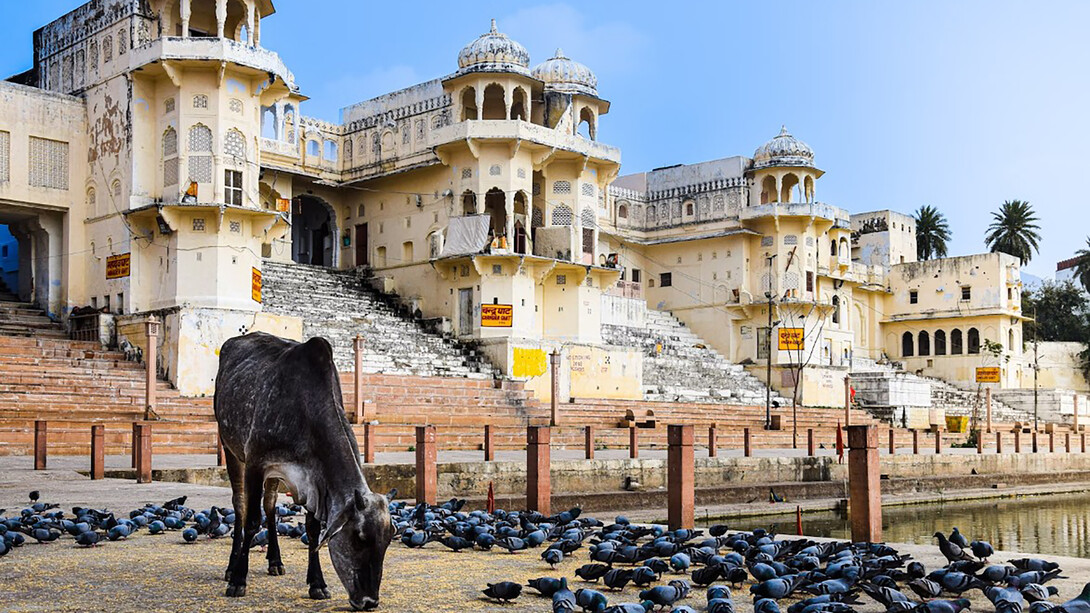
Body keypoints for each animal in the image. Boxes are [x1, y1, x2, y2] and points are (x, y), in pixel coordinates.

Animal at [214, 332, 393, 610]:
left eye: (388, 541)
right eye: (359, 538)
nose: (369, 601)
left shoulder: (313, 480)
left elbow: (313, 529)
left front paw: (317, 583)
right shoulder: (256, 462)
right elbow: (252, 521)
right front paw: (238, 581)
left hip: (274, 476)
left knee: (270, 505)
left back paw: (275, 561)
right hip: (230, 448)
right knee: (241, 506)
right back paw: (232, 568)